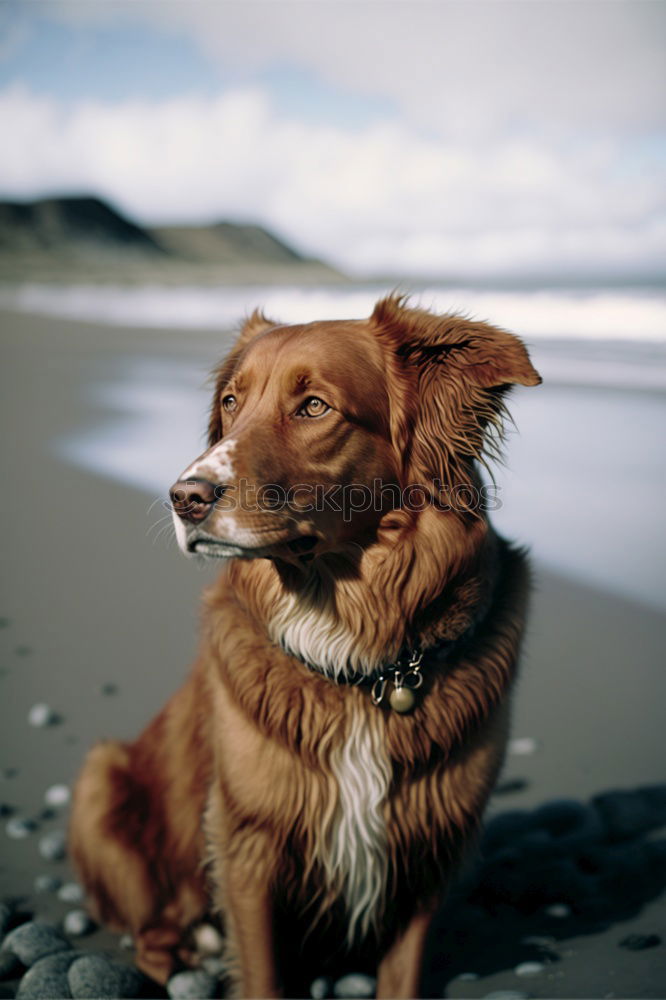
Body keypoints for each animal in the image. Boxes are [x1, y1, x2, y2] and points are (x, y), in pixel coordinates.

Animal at [70, 298, 540, 1000]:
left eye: (314, 406)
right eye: (231, 402)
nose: (184, 498)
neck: (359, 657)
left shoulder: (426, 848)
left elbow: (401, 977)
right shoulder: (248, 841)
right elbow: (261, 975)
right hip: (100, 784)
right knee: (154, 935)